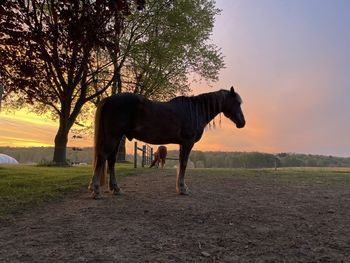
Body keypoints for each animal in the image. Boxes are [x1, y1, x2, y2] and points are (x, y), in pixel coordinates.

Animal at [89, 87, 245, 199]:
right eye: (237, 103)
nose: (242, 123)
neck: (194, 110)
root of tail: (109, 99)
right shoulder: (188, 142)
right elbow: (183, 164)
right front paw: (183, 189)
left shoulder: (182, 144)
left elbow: (181, 164)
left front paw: (180, 187)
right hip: (113, 136)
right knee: (103, 157)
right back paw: (96, 191)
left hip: (117, 137)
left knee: (111, 160)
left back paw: (116, 189)